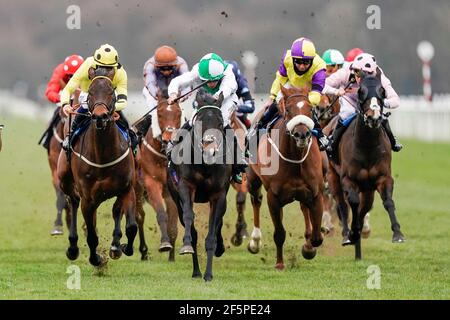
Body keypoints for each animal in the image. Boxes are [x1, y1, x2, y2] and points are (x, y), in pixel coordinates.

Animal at [59, 73, 138, 268]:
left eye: (111, 92)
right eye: (91, 92)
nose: (100, 116)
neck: (103, 155)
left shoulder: (127, 188)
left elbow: (131, 227)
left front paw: (122, 247)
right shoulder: (87, 198)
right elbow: (92, 236)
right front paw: (96, 259)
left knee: (116, 210)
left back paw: (115, 245)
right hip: (66, 181)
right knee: (73, 202)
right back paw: (73, 247)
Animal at [134, 91, 182, 262]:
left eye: (179, 113)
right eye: (160, 114)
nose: (169, 138)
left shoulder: (171, 188)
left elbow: (172, 221)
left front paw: (172, 256)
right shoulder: (151, 183)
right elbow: (161, 214)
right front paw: (165, 244)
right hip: (136, 189)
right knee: (139, 216)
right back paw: (143, 251)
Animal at [168, 89, 234, 280]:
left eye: (220, 123)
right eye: (199, 122)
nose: (209, 151)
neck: (205, 165)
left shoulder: (219, 195)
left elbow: (212, 233)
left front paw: (209, 274)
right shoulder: (185, 186)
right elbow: (189, 216)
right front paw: (186, 246)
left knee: (218, 222)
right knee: (191, 227)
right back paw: (196, 270)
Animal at [246, 86, 324, 268]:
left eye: (310, 109)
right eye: (288, 109)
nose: (301, 134)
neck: (295, 161)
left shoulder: (315, 192)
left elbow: (317, 237)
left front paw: (309, 248)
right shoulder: (273, 197)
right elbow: (279, 233)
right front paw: (280, 263)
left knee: (304, 208)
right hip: (253, 179)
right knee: (256, 200)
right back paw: (255, 242)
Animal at [326, 73, 406, 260]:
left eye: (382, 91)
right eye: (360, 91)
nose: (373, 117)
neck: (367, 146)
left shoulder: (383, 178)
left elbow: (388, 202)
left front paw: (397, 234)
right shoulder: (348, 179)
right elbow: (352, 203)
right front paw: (352, 233)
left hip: (368, 190)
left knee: (364, 208)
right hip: (333, 177)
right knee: (342, 204)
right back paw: (347, 235)